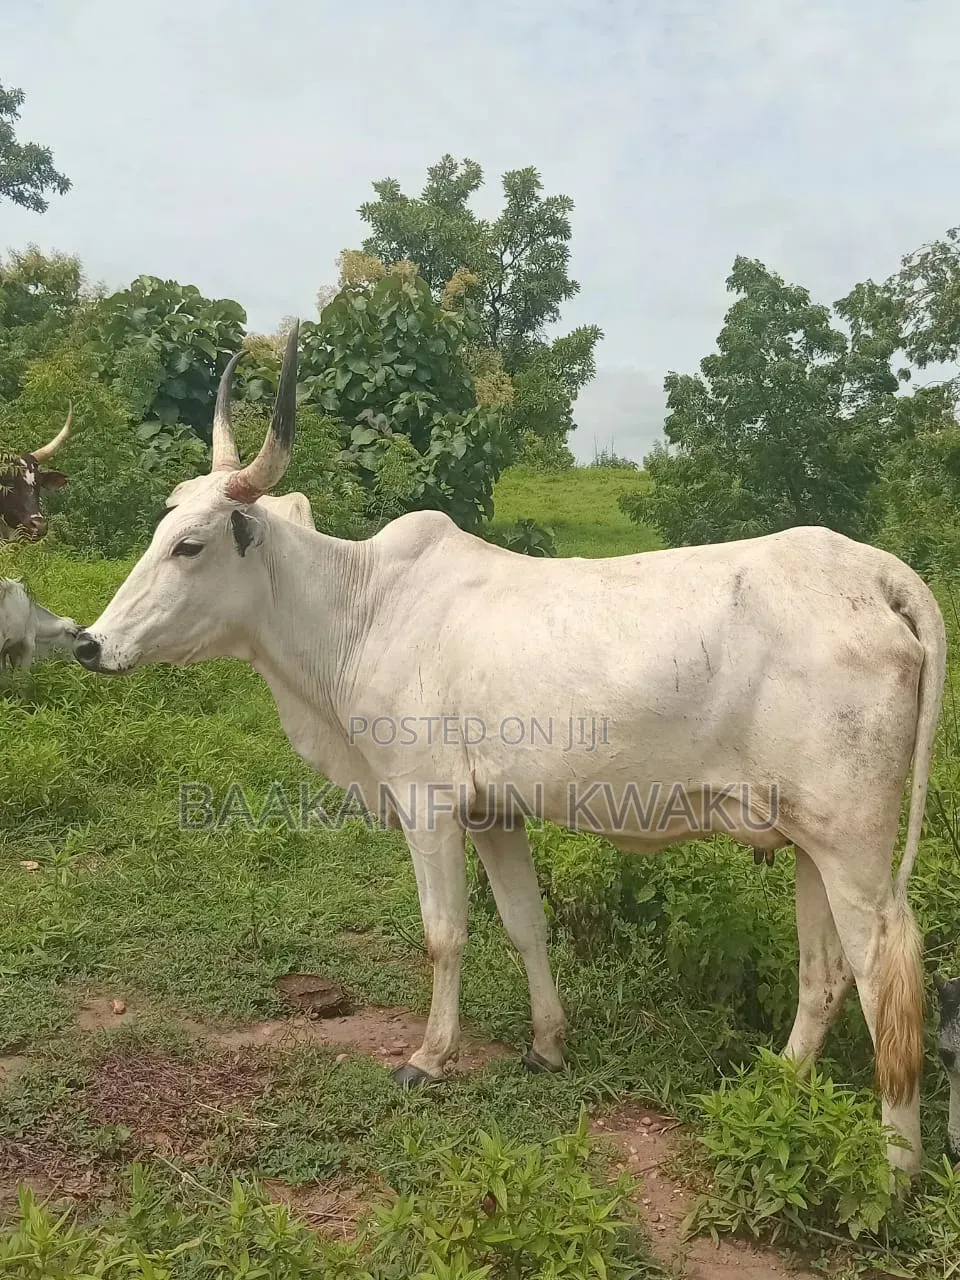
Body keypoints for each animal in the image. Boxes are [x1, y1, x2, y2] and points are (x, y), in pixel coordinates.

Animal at [73, 322, 946, 1177]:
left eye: (189, 546)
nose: (89, 644)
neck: (364, 610)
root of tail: (876, 572)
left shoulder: (426, 804)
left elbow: (444, 934)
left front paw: (428, 1058)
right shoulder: (496, 812)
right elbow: (525, 925)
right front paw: (548, 1045)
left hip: (853, 842)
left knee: (886, 971)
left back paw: (897, 1165)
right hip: (808, 842)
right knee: (825, 975)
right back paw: (777, 1089)